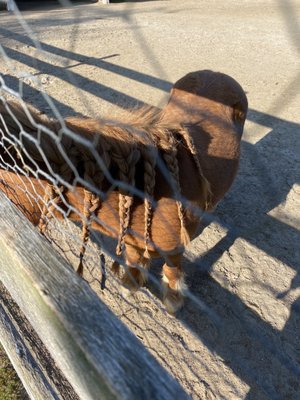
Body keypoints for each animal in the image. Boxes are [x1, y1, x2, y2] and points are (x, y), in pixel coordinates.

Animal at [0, 71, 247, 312]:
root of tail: (217, 74)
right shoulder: (129, 235)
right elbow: (135, 258)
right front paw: (131, 283)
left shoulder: (174, 249)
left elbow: (172, 269)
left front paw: (173, 299)